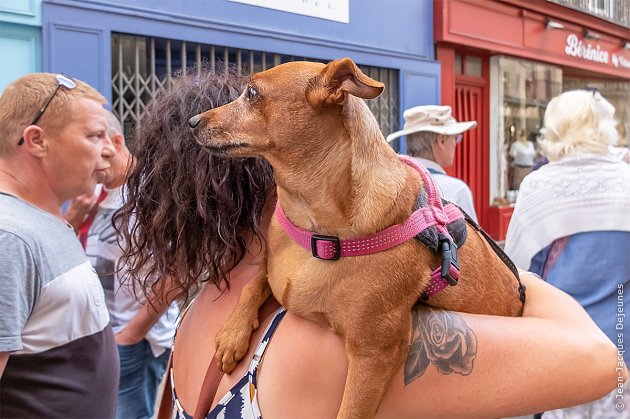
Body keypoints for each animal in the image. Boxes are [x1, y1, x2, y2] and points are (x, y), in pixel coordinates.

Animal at [190, 57, 524, 418]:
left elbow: (350, 411)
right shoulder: (275, 276)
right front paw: (232, 334)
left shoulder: (374, 354)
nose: (191, 122)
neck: (312, 224)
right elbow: (254, 283)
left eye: (251, 93)